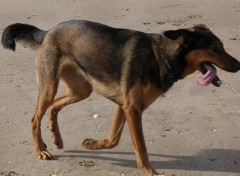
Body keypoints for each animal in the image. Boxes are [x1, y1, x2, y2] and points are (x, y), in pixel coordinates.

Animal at [1, 20, 240, 175]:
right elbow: (141, 148)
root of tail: (49, 31)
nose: (238, 65)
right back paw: (40, 150)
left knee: (53, 107)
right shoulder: (132, 108)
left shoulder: (124, 105)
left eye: (222, 47)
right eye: (215, 49)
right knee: (35, 118)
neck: (163, 56)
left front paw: (93, 145)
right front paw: (150, 171)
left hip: (81, 90)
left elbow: (113, 139)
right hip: (49, 86)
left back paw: (55, 139)